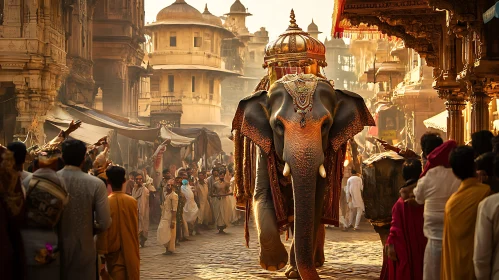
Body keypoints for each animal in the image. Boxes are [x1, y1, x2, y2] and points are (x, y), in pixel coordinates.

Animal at [231, 71, 376, 278]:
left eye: (326, 125)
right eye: (278, 125)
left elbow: (314, 204)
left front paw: (292, 272)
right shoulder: (264, 152)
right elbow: (262, 195)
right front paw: (274, 264)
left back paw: (316, 261)